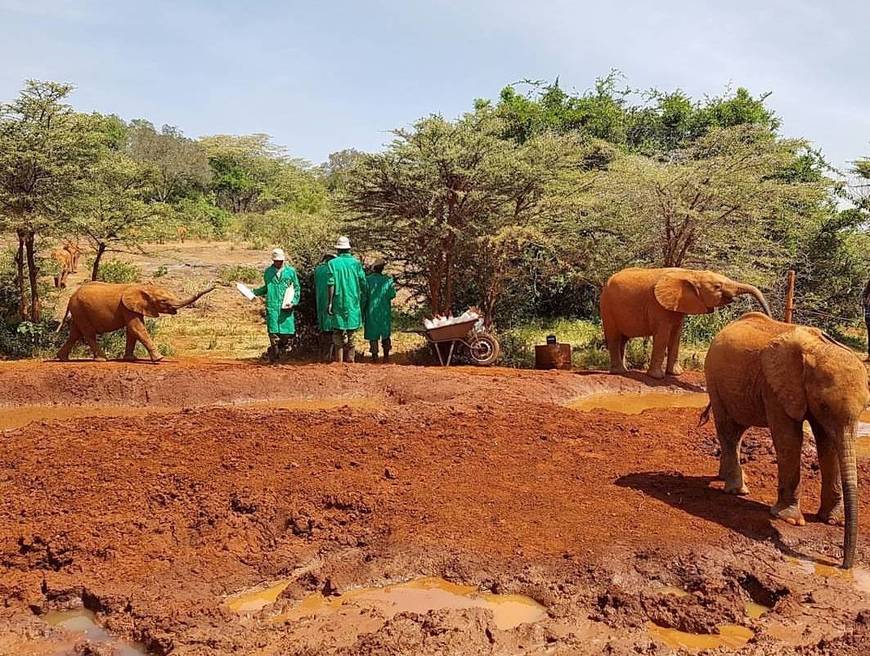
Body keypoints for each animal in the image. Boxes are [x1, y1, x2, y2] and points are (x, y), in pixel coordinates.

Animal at [58, 282, 215, 364]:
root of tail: (71, 297)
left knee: (75, 334)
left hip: (79, 311)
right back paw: (103, 359)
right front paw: (159, 359)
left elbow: (132, 331)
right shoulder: (126, 307)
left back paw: (62, 359)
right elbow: (137, 328)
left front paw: (130, 359)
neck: (143, 287)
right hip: (80, 309)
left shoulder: (134, 308)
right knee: (88, 334)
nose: (214, 285)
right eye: (163, 301)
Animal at [604, 268, 772, 380]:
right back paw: (620, 372)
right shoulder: (657, 306)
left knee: (623, 339)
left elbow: (676, 335)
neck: (691, 273)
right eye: (717, 287)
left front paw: (675, 374)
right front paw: (657, 377)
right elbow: (663, 336)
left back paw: (624, 370)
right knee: (614, 337)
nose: (769, 316)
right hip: (607, 306)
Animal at [704, 312, 868, 568]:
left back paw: (727, 479)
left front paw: (831, 520)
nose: (843, 565)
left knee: (738, 430)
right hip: (714, 378)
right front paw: (790, 520)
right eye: (823, 405)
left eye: (865, 408)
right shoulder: (775, 388)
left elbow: (828, 444)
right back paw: (737, 490)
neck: (817, 348)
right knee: (728, 429)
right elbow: (789, 439)